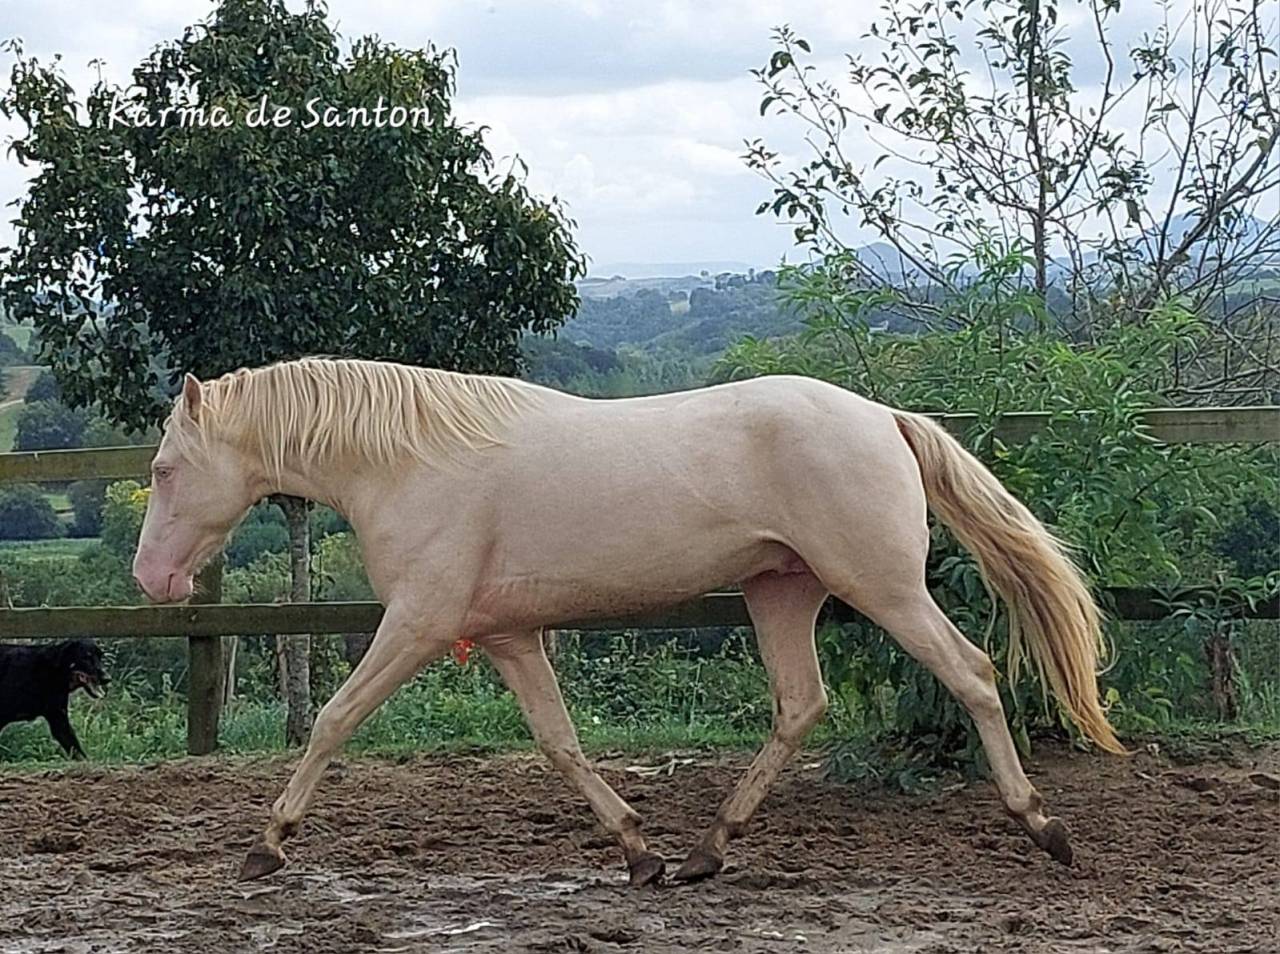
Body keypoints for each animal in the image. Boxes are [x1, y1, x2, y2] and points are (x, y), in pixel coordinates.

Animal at [132, 357, 1123, 886]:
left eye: (167, 468)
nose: (152, 579)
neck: (411, 462)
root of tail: (883, 417)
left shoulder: (416, 623)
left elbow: (333, 720)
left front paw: (265, 846)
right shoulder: (506, 636)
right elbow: (560, 743)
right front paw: (639, 851)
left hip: (881, 587)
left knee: (971, 675)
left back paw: (1045, 828)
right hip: (782, 592)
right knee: (800, 705)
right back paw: (705, 852)